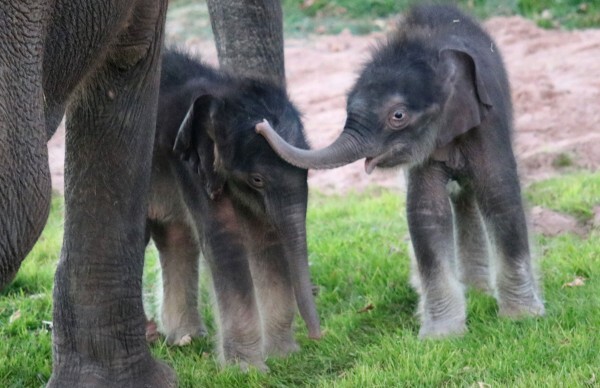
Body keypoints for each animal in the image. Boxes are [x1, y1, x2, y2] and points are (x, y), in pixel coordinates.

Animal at [147, 50, 322, 372]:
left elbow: (263, 236)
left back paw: (185, 338)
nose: (318, 336)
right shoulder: (187, 162)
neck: (220, 92)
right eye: (257, 179)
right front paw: (247, 371)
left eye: (307, 173)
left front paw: (284, 356)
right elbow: (224, 239)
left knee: (175, 236)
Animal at [258, 5, 544, 340]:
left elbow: (500, 194)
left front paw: (523, 318)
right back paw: (469, 292)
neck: (432, 52)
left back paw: (479, 292)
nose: (260, 125)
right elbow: (426, 211)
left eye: (398, 115)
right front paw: (442, 336)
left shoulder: (489, 121)